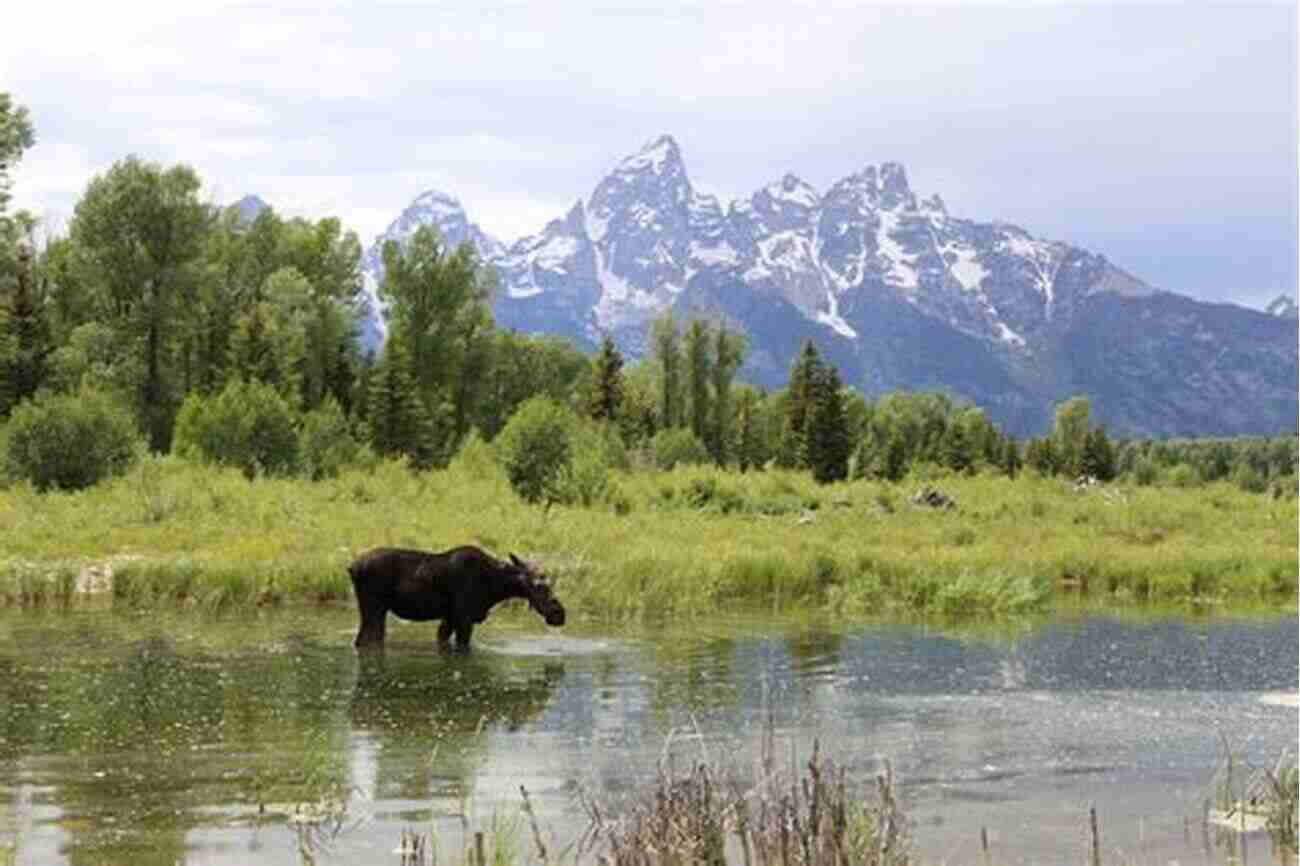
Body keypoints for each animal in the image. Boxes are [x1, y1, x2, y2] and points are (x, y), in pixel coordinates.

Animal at [348, 546, 566, 647]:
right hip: (373, 608)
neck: (495, 588)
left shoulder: (450, 618)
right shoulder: (463, 618)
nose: (559, 614)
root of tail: (351, 567)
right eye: (539, 586)